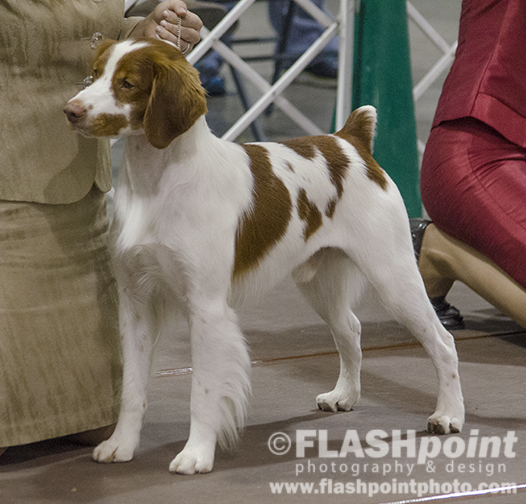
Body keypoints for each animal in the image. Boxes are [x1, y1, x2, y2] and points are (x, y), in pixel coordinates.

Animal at [64, 38, 464, 474]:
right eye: (94, 74)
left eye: (127, 83)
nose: (70, 110)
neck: (158, 184)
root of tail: (350, 141)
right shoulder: (136, 301)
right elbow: (132, 387)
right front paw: (121, 444)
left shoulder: (206, 307)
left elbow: (203, 388)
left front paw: (196, 454)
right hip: (320, 282)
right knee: (351, 329)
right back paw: (344, 394)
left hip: (393, 275)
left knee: (442, 342)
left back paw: (449, 415)